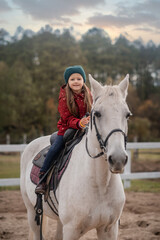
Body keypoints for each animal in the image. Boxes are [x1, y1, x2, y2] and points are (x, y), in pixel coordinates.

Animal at [20, 74, 131, 239]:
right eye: (97, 114)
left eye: (127, 115)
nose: (118, 159)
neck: (100, 184)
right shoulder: (71, 230)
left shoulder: (109, 229)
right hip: (33, 215)